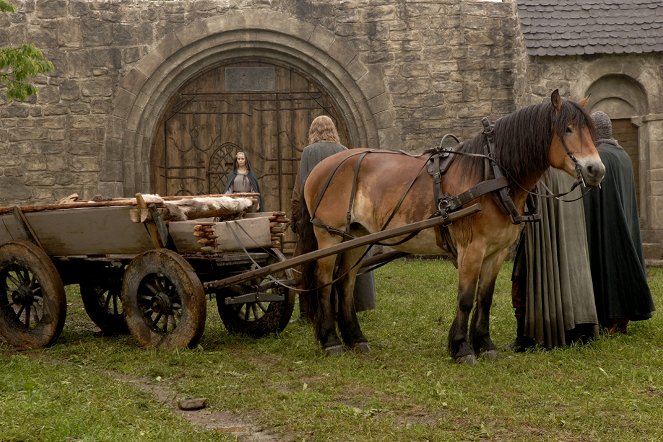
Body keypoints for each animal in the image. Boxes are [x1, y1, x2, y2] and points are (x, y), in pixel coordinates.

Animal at [300, 90, 608, 366]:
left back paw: (355, 338)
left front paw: (484, 344)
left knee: (345, 282)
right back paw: (330, 340)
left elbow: (485, 299)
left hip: (357, 236)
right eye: (568, 129)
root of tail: (321, 167)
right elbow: (466, 299)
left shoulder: (497, 252)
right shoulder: (471, 249)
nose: (596, 170)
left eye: (590, 130)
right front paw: (462, 348)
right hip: (329, 235)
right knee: (325, 281)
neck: (492, 176)